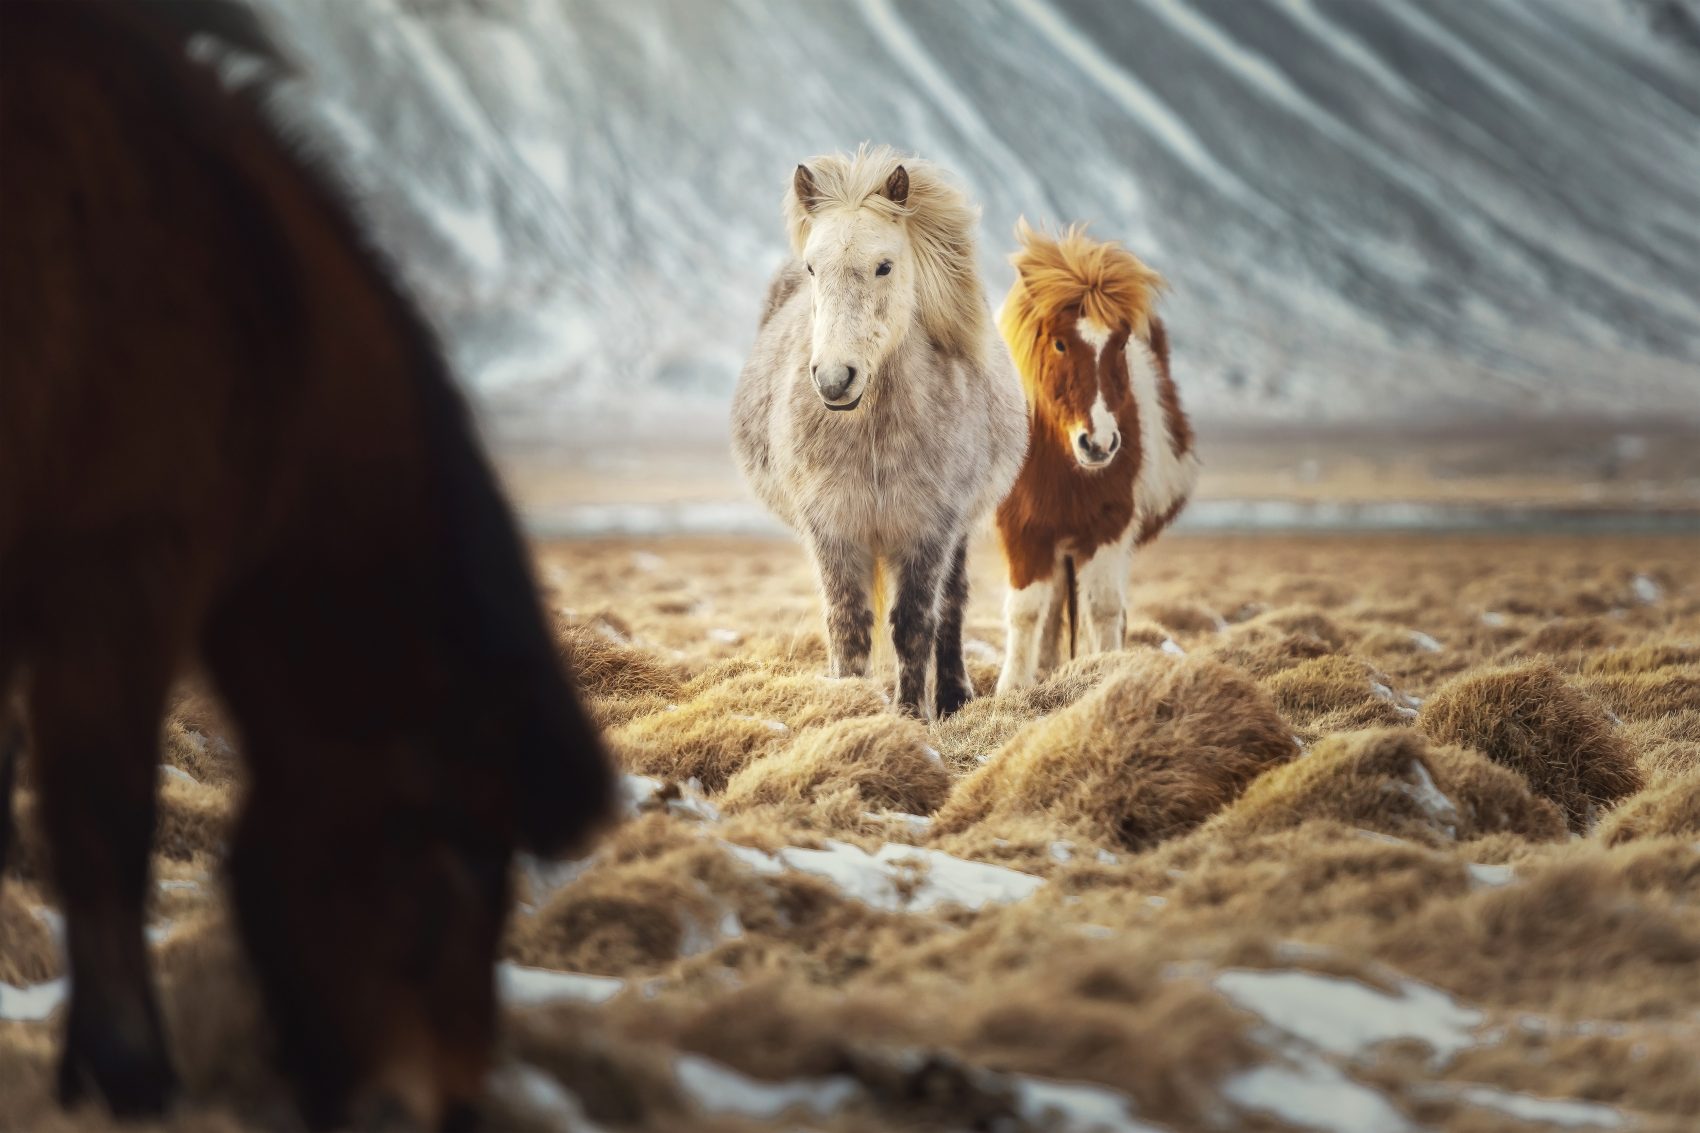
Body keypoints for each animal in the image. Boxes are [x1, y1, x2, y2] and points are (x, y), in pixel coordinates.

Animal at [731, 148, 1020, 714]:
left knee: (953, 604)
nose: (833, 379)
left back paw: (953, 695)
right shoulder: (832, 527)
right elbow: (848, 623)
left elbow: (913, 623)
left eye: (884, 266)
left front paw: (911, 714)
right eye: (813, 267)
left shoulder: (930, 528)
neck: (873, 435)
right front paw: (852, 706)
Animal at [992, 221, 1196, 687]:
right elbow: (1026, 610)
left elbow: (1102, 609)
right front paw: (1012, 688)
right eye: (1059, 344)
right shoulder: (1022, 529)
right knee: (1052, 607)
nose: (1099, 443)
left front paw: (1105, 672)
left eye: (1120, 344)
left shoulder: (1109, 527)